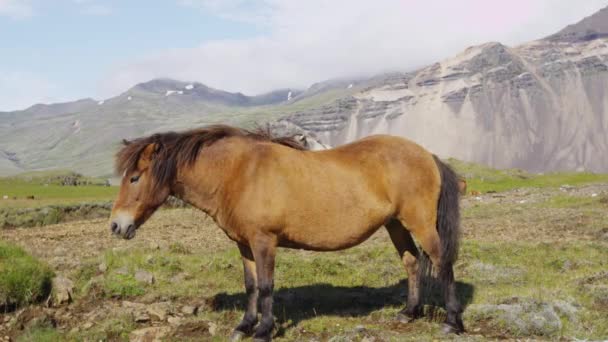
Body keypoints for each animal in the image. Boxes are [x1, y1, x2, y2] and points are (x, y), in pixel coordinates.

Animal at [109, 124, 464, 340]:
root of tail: (427, 155)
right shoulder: (244, 245)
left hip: (420, 222)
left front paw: (264, 330)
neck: (238, 172)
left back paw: (452, 322)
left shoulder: (264, 242)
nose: (116, 225)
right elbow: (251, 286)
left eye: (135, 177)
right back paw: (409, 313)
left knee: (442, 263)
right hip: (395, 224)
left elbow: (266, 287)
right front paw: (244, 325)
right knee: (412, 261)